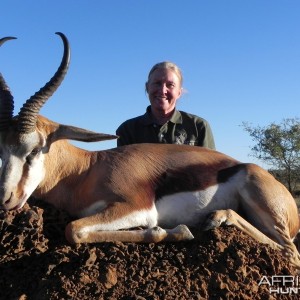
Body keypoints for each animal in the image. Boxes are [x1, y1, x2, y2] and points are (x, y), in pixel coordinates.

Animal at [0, 32, 300, 268]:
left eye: (34, 150)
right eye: (2, 152)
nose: (6, 200)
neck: (86, 171)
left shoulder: (137, 208)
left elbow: (73, 229)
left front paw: (180, 231)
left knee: (290, 252)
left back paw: (215, 219)